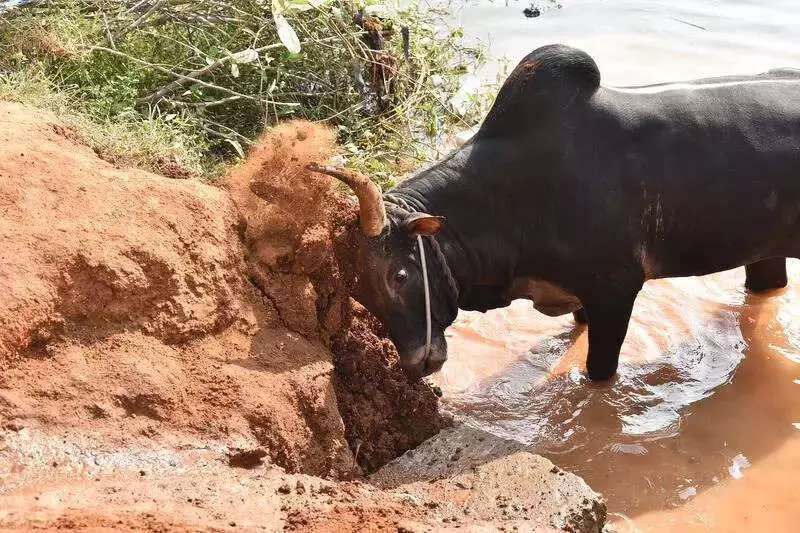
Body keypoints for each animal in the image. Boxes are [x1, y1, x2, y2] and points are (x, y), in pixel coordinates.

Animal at [308, 44, 800, 381]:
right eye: (359, 291)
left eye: (400, 275)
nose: (414, 364)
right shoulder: (582, 297)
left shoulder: (616, 290)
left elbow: (598, 371)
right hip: (764, 251)